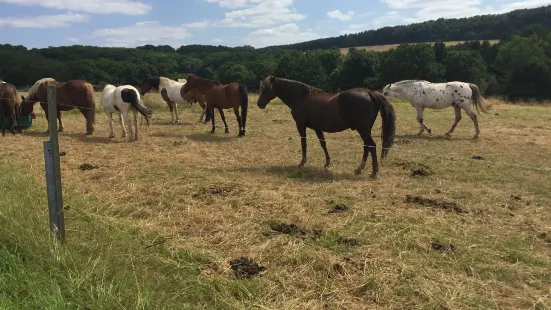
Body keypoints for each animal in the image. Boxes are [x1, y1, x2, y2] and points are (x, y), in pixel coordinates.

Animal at [256, 75, 394, 177]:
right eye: (261, 88)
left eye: (267, 88)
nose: (259, 104)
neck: (301, 98)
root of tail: (369, 93)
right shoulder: (317, 128)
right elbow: (323, 144)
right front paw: (327, 163)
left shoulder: (300, 125)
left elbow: (304, 143)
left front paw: (302, 162)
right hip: (365, 130)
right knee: (367, 147)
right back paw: (359, 169)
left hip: (363, 130)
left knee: (372, 146)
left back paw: (374, 172)